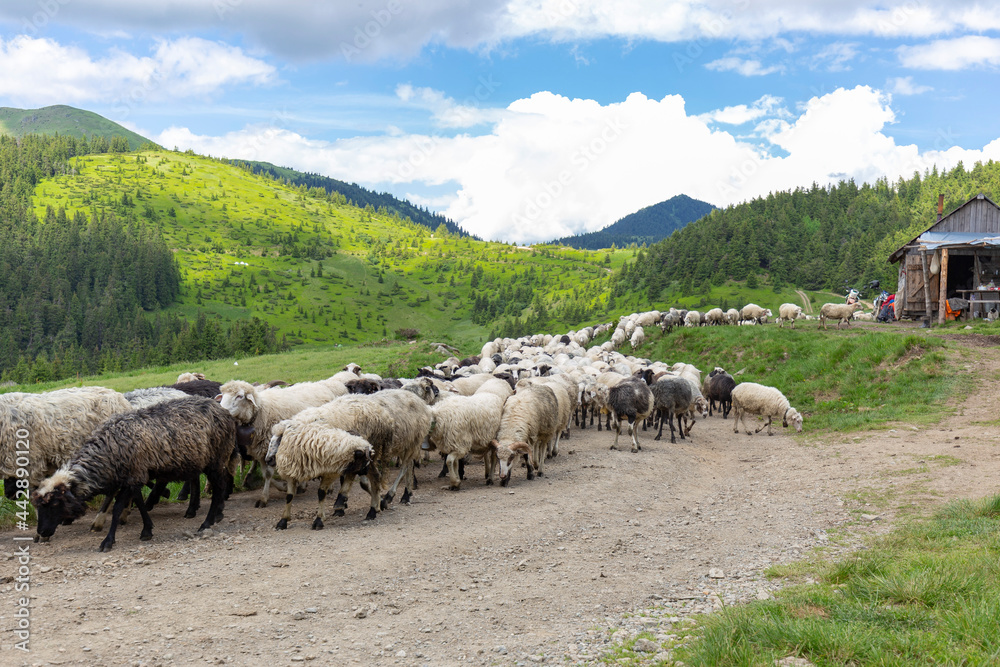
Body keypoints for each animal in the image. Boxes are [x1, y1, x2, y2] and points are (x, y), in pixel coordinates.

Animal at [31, 396, 238, 552]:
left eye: (55, 503)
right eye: (38, 507)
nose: (42, 532)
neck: (108, 450)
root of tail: (222, 410)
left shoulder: (132, 476)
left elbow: (116, 509)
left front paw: (108, 541)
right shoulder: (134, 476)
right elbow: (139, 502)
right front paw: (147, 529)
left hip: (216, 458)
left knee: (219, 488)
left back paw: (207, 522)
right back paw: (215, 514)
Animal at [218, 376, 348, 506]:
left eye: (239, 396)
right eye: (223, 395)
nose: (221, 411)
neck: (261, 412)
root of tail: (320, 385)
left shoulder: (270, 447)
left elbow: (268, 474)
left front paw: (264, 498)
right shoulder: (261, 451)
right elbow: (266, 474)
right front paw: (283, 487)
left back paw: (328, 487)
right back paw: (303, 485)